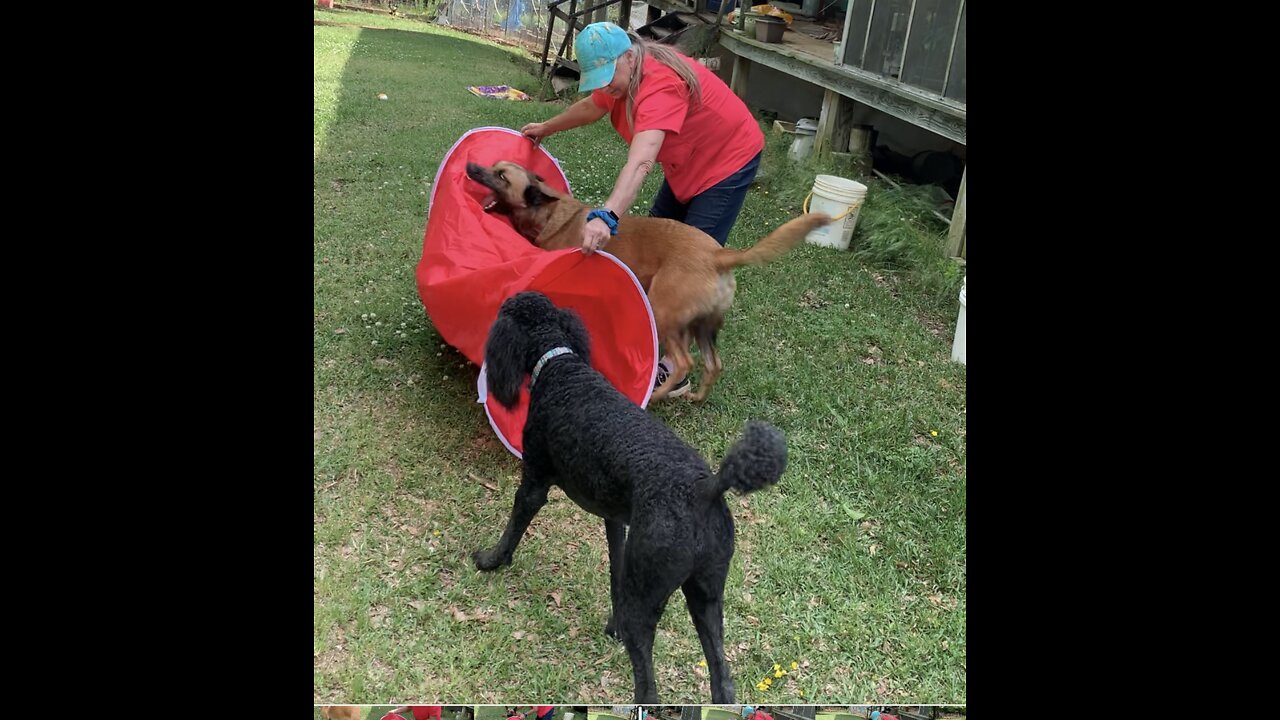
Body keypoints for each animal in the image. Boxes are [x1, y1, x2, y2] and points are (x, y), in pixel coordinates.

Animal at [465, 158, 834, 399]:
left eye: (500, 175)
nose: (469, 166)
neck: (550, 213)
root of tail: (717, 256)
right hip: (702, 327)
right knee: (713, 365)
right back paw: (694, 398)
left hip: (663, 314)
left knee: (685, 363)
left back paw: (656, 397)